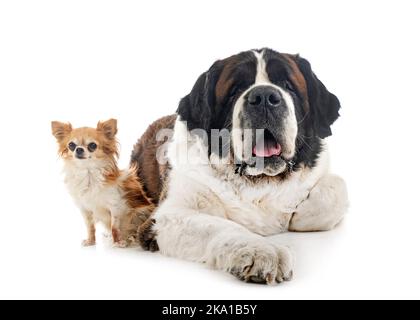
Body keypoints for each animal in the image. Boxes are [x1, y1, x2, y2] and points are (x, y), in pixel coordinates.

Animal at [130, 47, 348, 282]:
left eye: (288, 85)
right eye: (235, 90)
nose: (264, 97)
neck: (260, 181)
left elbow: (337, 189)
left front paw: (296, 216)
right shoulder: (166, 216)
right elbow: (221, 226)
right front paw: (263, 251)